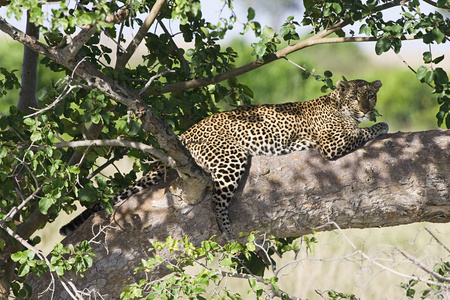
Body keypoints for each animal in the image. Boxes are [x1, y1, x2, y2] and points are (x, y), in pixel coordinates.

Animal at [59, 79, 388, 237]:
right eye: (355, 97)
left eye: (370, 96)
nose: (366, 109)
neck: (338, 105)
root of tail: (187, 132)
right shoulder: (332, 144)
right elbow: (363, 133)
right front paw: (380, 125)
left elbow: (361, 130)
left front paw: (375, 122)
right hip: (231, 160)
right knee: (217, 200)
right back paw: (227, 230)